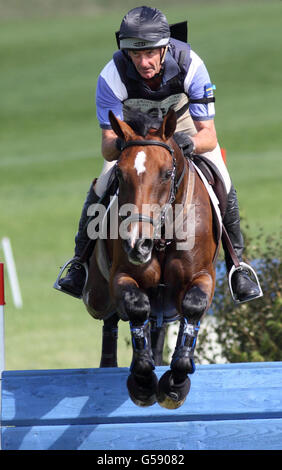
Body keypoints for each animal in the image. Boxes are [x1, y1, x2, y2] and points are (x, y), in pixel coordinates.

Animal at [82, 109, 217, 408]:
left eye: (167, 174)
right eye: (120, 174)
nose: (137, 244)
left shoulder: (204, 276)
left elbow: (193, 306)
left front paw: (175, 383)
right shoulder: (123, 276)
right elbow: (136, 306)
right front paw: (143, 382)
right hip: (96, 296)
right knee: (110, 319)